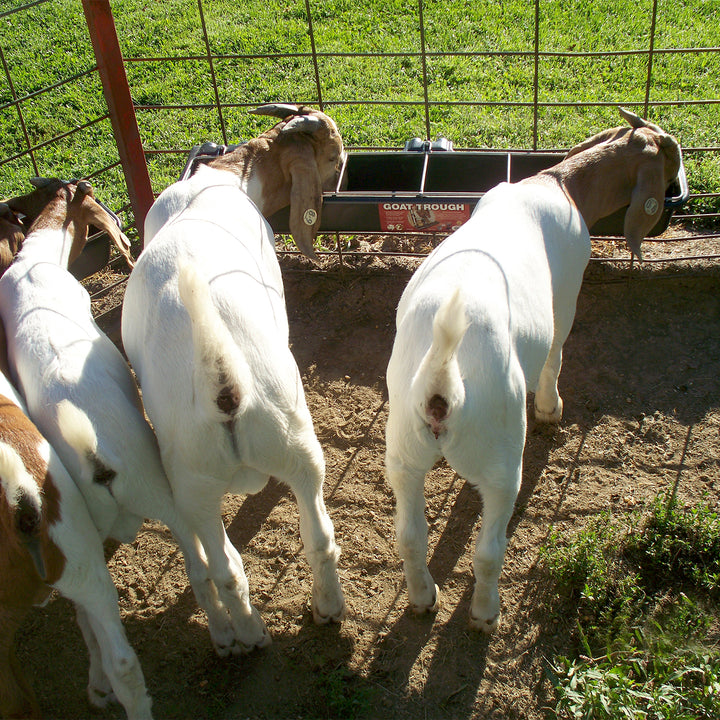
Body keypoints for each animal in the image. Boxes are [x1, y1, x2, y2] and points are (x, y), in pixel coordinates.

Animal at [121, 104, 346, 652]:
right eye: (332, 156)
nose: (345, 168)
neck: (225, 178)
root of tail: (223, 388)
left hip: (197, 487)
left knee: (230, 567)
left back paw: (251, 633)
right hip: (296, 449)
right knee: (314, 537)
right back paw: (317, 613)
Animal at [384, 108, 682, 632]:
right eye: (669, 157)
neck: (560, 183)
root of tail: (442, 383)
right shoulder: (567, 291)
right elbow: (556, 352)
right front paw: (550, 408)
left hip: (402, 451)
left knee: (410, 537)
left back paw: (424, 598)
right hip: (502, 459)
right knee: (488, 550)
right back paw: (485, 614)